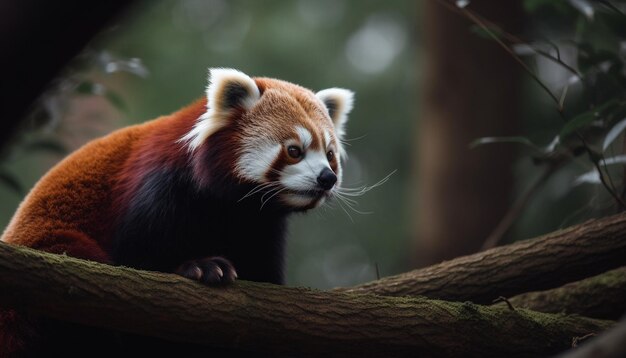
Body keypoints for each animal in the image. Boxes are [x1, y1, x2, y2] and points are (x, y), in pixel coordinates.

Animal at [0, 68, 352, 356]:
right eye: (294, 151)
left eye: (330, 155)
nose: (327, 178)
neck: (232, 205)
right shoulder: (159, 186)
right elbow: (137, 257)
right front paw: (201, 267)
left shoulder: (259, 225)